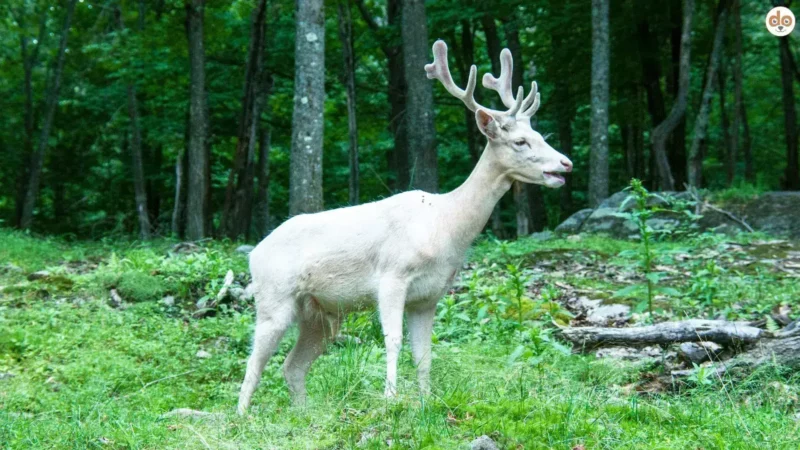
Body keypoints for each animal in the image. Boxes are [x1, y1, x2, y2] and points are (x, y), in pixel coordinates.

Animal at [237, 39, 572, 414]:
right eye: (520, 142)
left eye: (539, 135)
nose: (566, 164)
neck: (446, 227)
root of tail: (253, 254)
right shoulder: (392, 276)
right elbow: (393, 340)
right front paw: (390, 400)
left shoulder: (429, 296)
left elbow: (424, 354)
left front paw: (427, 403)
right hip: (274, 297)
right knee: (253, 364)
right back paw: (242, 416)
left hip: (321, 314)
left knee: (291, 366)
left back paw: (304, 414)